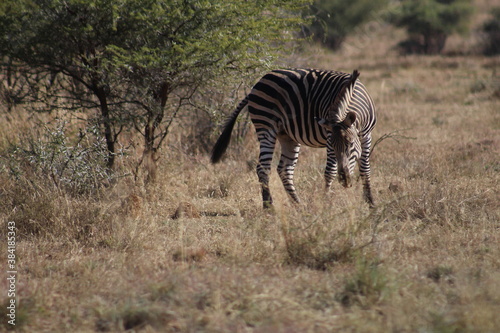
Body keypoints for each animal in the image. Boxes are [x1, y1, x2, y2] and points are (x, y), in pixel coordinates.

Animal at [209, 68, 376, 208]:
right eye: (334, 146)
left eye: (350, 144)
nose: (345, 180)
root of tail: (258, 82)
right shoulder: (329, 138)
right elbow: (330, 170)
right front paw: (326, 202)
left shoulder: (366, 136)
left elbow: (365, 168)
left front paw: (371, 202)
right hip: (265, 126)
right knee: (263, 168)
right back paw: (269, 207)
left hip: (287, 135)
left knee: (284, 169)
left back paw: (297, 204)